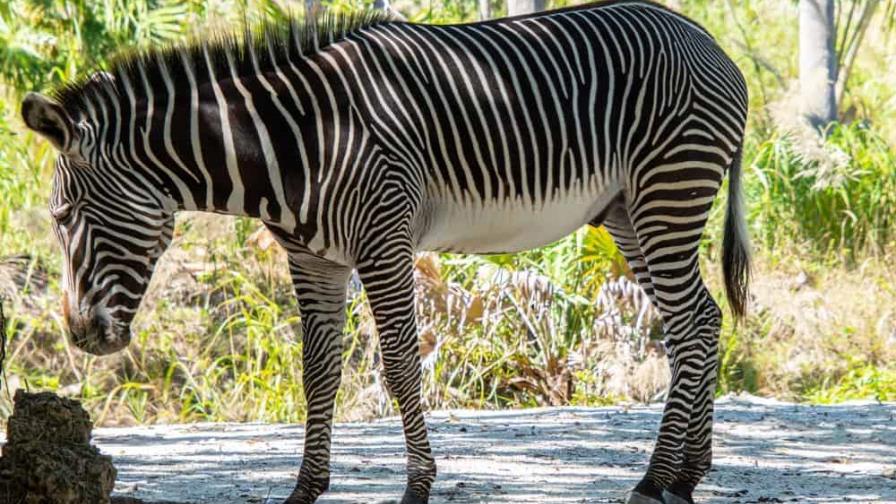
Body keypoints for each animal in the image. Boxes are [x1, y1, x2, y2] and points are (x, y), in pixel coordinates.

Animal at [22, 1, 748, 502]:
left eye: (64, 217)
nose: (81, 337)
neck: (296, 143)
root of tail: (710, 41)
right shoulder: (314, 259)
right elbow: (318, 374)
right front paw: (305, 489)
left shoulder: (383, 240)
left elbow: (399, 367)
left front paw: (417, 486)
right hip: (630, 212)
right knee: (701, 321)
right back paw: (688, 474)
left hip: (667, 192)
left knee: (690, 324)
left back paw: (657, 479)